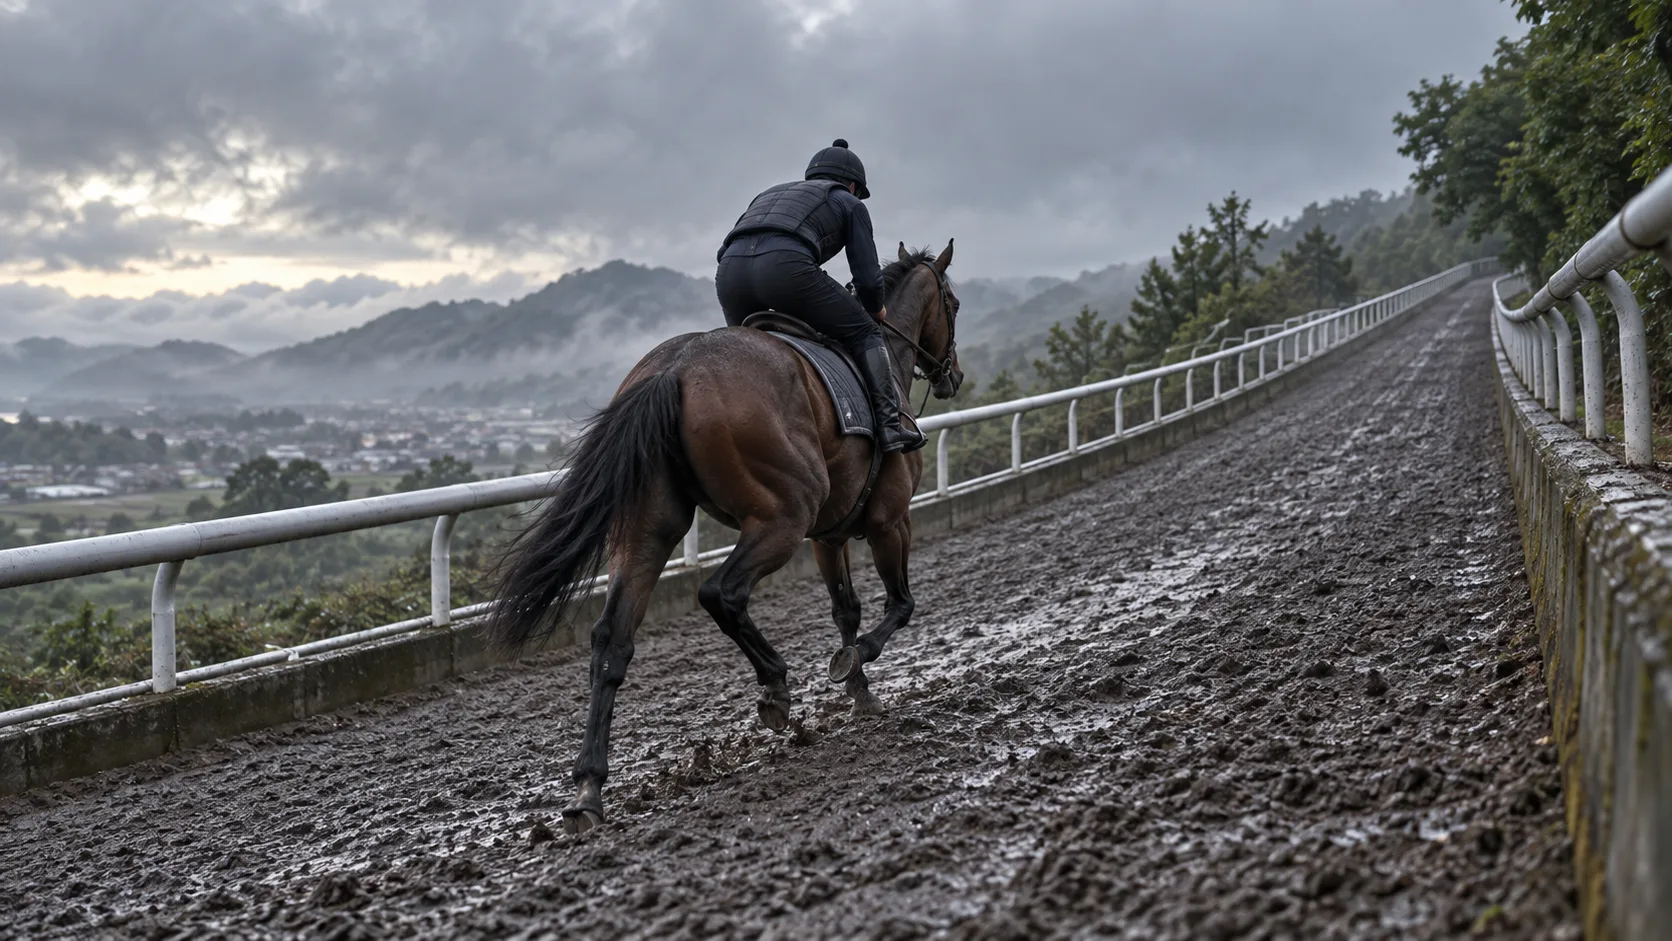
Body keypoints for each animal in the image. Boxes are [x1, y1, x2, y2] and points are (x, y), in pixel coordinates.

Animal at [481, 240, 963, 833]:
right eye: (954, 304)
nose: (951, 375)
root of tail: (674, 368)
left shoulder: (827, 537)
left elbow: (845, 611)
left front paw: (860, 694)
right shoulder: (890, 521)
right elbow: (899, 605)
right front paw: (855, 665)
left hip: (648, 530)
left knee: (611, 640)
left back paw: (588, 790)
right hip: (783, 517)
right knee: (720, 593)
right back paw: (775, 687)